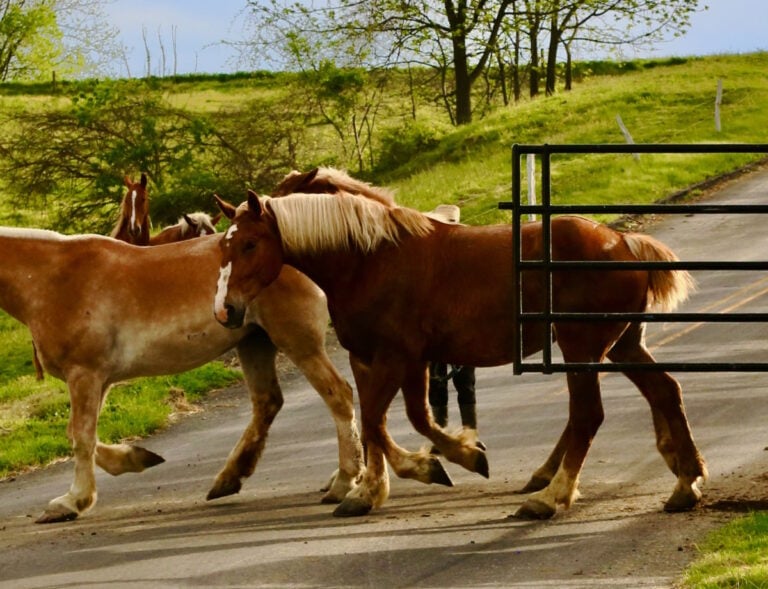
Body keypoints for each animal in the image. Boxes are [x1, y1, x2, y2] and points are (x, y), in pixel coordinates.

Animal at [2, 227, 363, 523]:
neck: (53, 277)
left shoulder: (85, 375)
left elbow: (81, 438)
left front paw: (72, 501)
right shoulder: (97, 380)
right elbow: (77, 435)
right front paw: (134, 458)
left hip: (298, 343)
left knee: (338, 395)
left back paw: (345, 481)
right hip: (254, 343)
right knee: (268, 403)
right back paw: (230, 479)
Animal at [213, 187, 707, 520]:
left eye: (250, 244)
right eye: (224, 245)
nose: (226, 309)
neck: (369, 260)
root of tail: (624, 243)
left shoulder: (398, 357)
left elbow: (381, 421)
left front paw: (439, 463)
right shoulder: (383, 360)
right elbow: (394, 422)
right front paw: (377, 488)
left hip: (581, 347)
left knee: (588, 415)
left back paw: (551, 496)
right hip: (622, 344)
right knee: (666, 392)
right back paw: (686, 482)